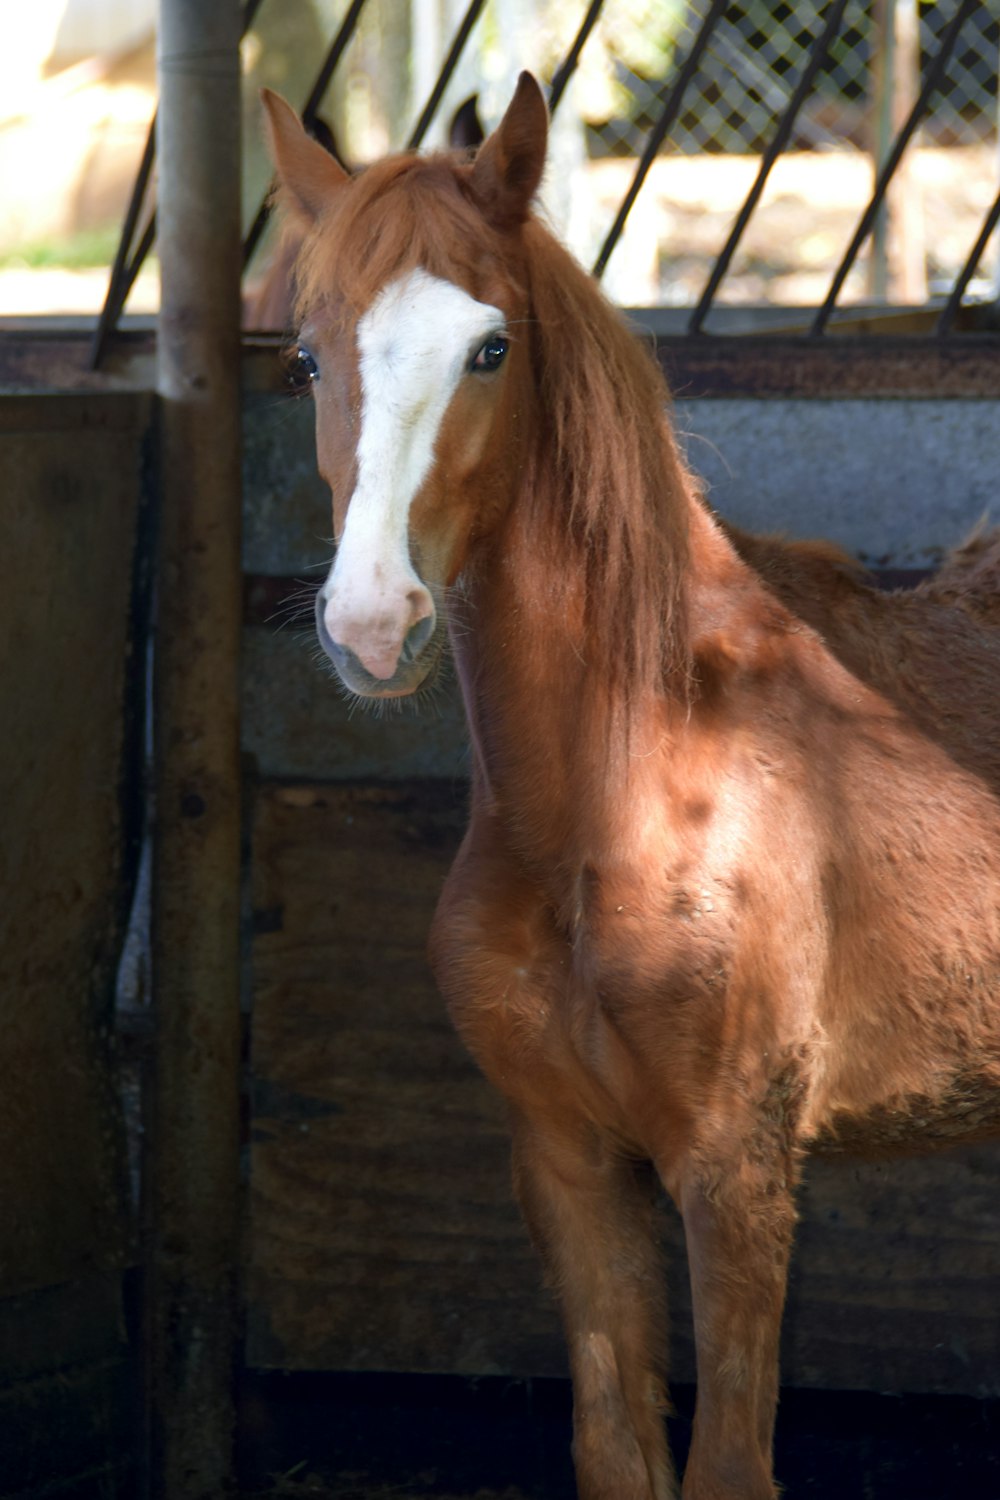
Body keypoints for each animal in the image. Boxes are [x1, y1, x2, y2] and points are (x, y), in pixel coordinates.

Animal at [260, 76, 1000, 1500]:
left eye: (490, 351)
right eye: (310, 359)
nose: (373, 627)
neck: (630, 782)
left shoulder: (736, 1178)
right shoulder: (570, 1165)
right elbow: (615, 1449)